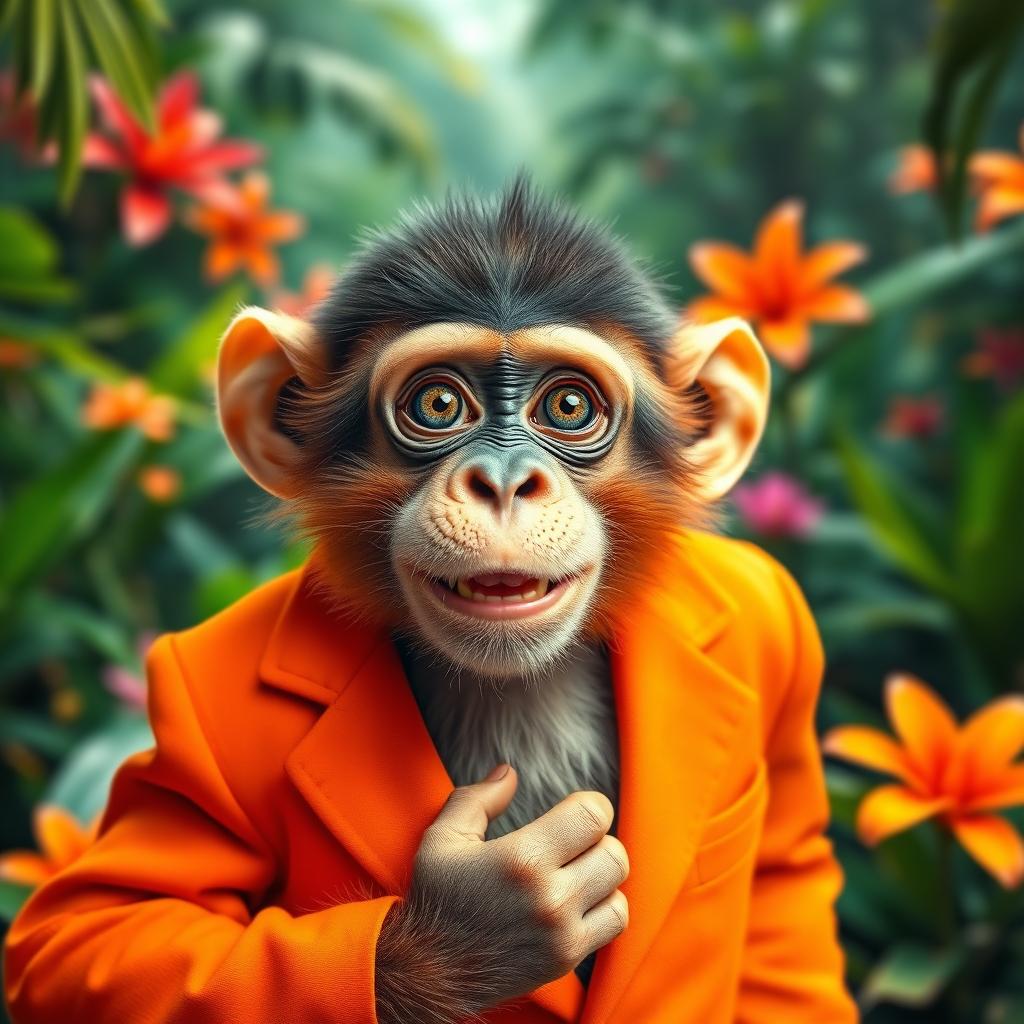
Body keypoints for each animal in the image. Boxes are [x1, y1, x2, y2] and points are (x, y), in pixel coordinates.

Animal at [4, 180, 857, 1024]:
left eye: (568, 408)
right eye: (440, 404)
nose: (504, 483)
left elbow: (787, 874)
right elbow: (91, 928)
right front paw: (481, 922)